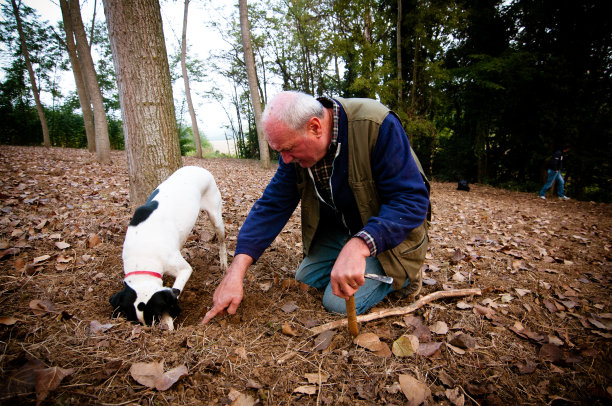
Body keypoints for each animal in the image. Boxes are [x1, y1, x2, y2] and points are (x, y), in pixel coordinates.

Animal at [110, 166, 227, 330]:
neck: (143, 254)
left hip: (215, 215)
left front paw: (168, 320)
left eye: (155, 316)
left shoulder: (184, 269)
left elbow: (175, 291)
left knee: (222, 239)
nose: (151, 329)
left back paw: (224, 263)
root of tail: (198, 167)